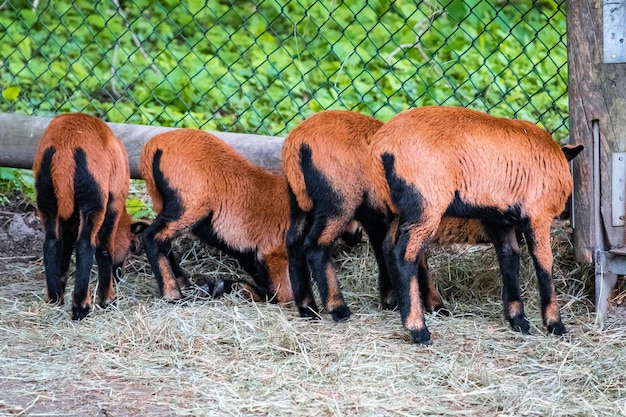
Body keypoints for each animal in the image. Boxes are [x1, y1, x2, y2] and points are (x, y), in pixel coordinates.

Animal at [32, 112, 146, 320]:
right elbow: (104, 249)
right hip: (94, 200)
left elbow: (65, 249)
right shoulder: (114, 202)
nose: (119, 275)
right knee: (86, 245)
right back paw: (81, 307)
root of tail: (65, 147)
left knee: (51, 242)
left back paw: (54, 300)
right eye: (133, 246)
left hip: (47, 196)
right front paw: (107, 299)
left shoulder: (69, 219)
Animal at [139, 127, 292, 302]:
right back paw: (174, 295)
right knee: (152, 235)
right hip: (189, 205)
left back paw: (186, 285)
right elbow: (282, 295)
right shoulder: (273, 252)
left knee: (163, 241)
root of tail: (156, 142)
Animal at [368, 105, 576, 342]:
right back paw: (419, 330)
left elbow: (509, 259)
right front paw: (555, 325)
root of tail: (380, 147)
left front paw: (518, 321)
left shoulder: (499, 218)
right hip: (425, 202)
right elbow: (544, 263)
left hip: (401, 210)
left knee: (387, 247)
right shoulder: (538, 214)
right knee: (403, 255)